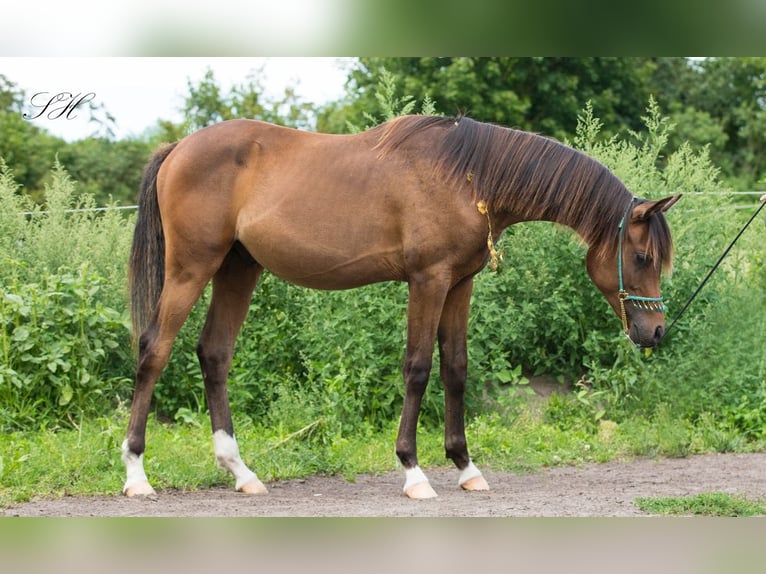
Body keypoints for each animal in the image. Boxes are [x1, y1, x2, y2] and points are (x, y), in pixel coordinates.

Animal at [121, 115, 684, 502]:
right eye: (641, 257)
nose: (655, 330)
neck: (468, 176)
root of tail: (179, 148)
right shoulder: (427, 281)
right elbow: (417, 368)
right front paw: (413, 471)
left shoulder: (459, 285)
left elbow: (456, 368)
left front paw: (465, 467)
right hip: (191, 268)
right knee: (154, 350)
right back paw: (136, 474)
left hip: (238, 269)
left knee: (214, 353)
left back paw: (242, 473)